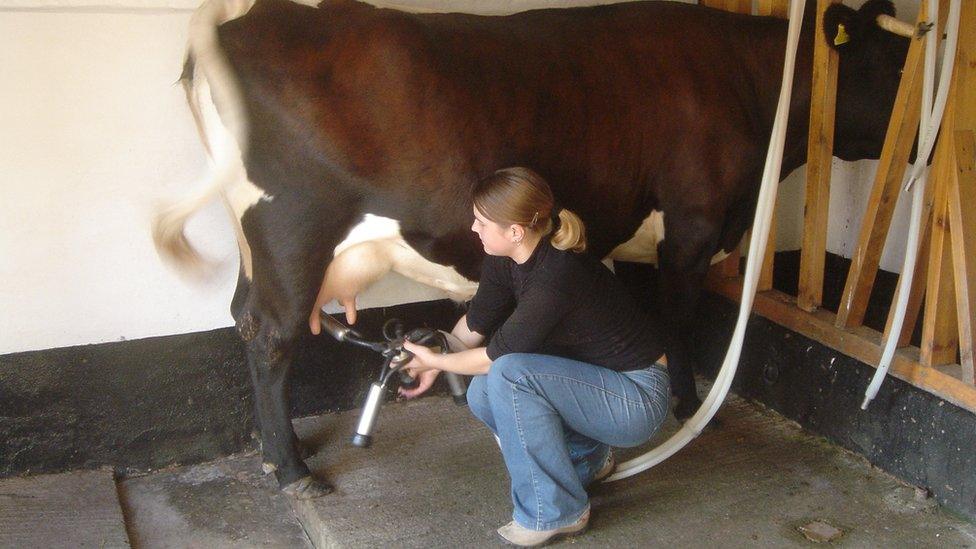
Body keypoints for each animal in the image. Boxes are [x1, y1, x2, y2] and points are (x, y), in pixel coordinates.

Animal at [154, 0, 916, 496]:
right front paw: (689, 405)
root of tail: (247, 17)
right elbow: (677, 320)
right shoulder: (694, 225)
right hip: (292, 229)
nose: (922, 147)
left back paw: (279, 452)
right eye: (888, 62)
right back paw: (292, 470)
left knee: (242, 316)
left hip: (260, 245)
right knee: (270, 333)